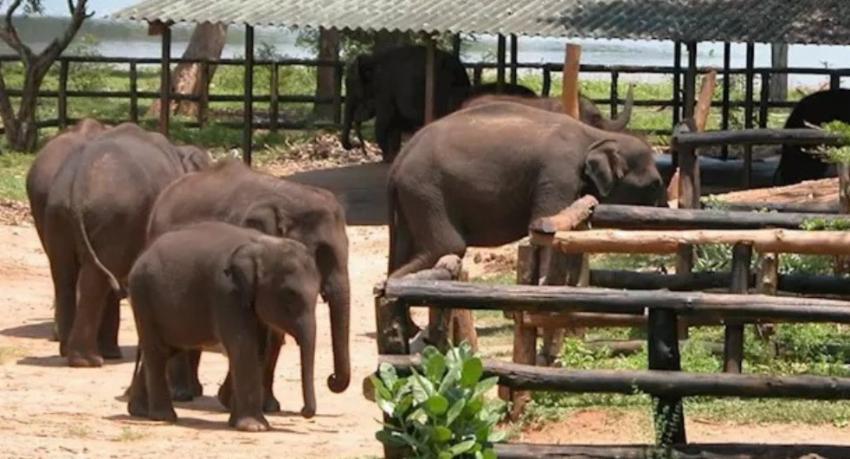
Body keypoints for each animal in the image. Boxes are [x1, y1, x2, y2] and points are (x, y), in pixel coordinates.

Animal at [43, 123, 211, 367]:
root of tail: (77, 185)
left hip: (58, 216)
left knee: (65, 274)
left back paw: (69, 350)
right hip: (113, 215)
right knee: (96, 278)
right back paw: (88, 361)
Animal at [127, 222, 321, 431]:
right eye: (290, 295)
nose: (304, 412)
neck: (262, 244)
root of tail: (142, 255)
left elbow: (259, 348)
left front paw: (240, 424)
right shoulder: (226, 293)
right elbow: (243, 346)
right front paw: (255, 428)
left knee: (166, 350)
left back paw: (139, 412)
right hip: (142, 297)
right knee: (157, 351)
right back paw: (164, 417)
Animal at [146, 159, 350, 409]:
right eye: (320, 252)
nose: (331, 379)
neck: (288, 197)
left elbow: (272, 332)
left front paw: (269, 405)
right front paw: (231, 400)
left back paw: (195, 390)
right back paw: (182, 394)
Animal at [341, 45, 471, 162]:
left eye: (351, 84)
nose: (356, 146)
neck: (373, 58)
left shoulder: (384, 88)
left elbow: (384, 120)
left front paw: (387, 157)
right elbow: (394, 122)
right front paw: (392, 157)